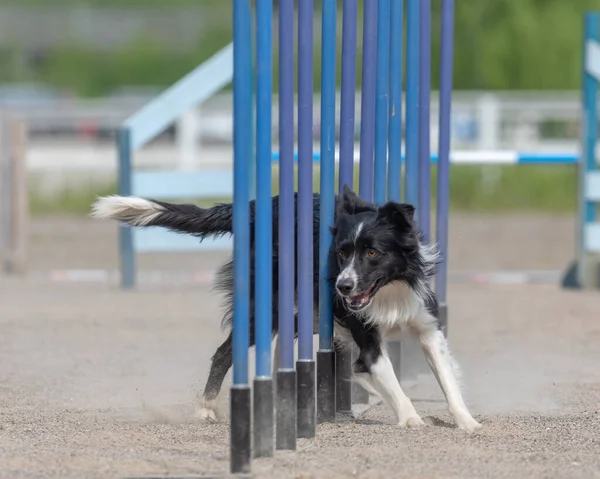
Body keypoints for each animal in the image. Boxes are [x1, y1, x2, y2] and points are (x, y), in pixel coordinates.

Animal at [90, 187, 482, 432]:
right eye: (341, 252)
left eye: (372, 252)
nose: (343, 286)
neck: (388, 289)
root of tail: (256, 207)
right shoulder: (365, 335)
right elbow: (387, 376)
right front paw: (411, 418)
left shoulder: (426, 325)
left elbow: (446, 378)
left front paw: (467, 421)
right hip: (270, 306)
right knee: (223, 354)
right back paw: (206, 408)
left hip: (300, 315)